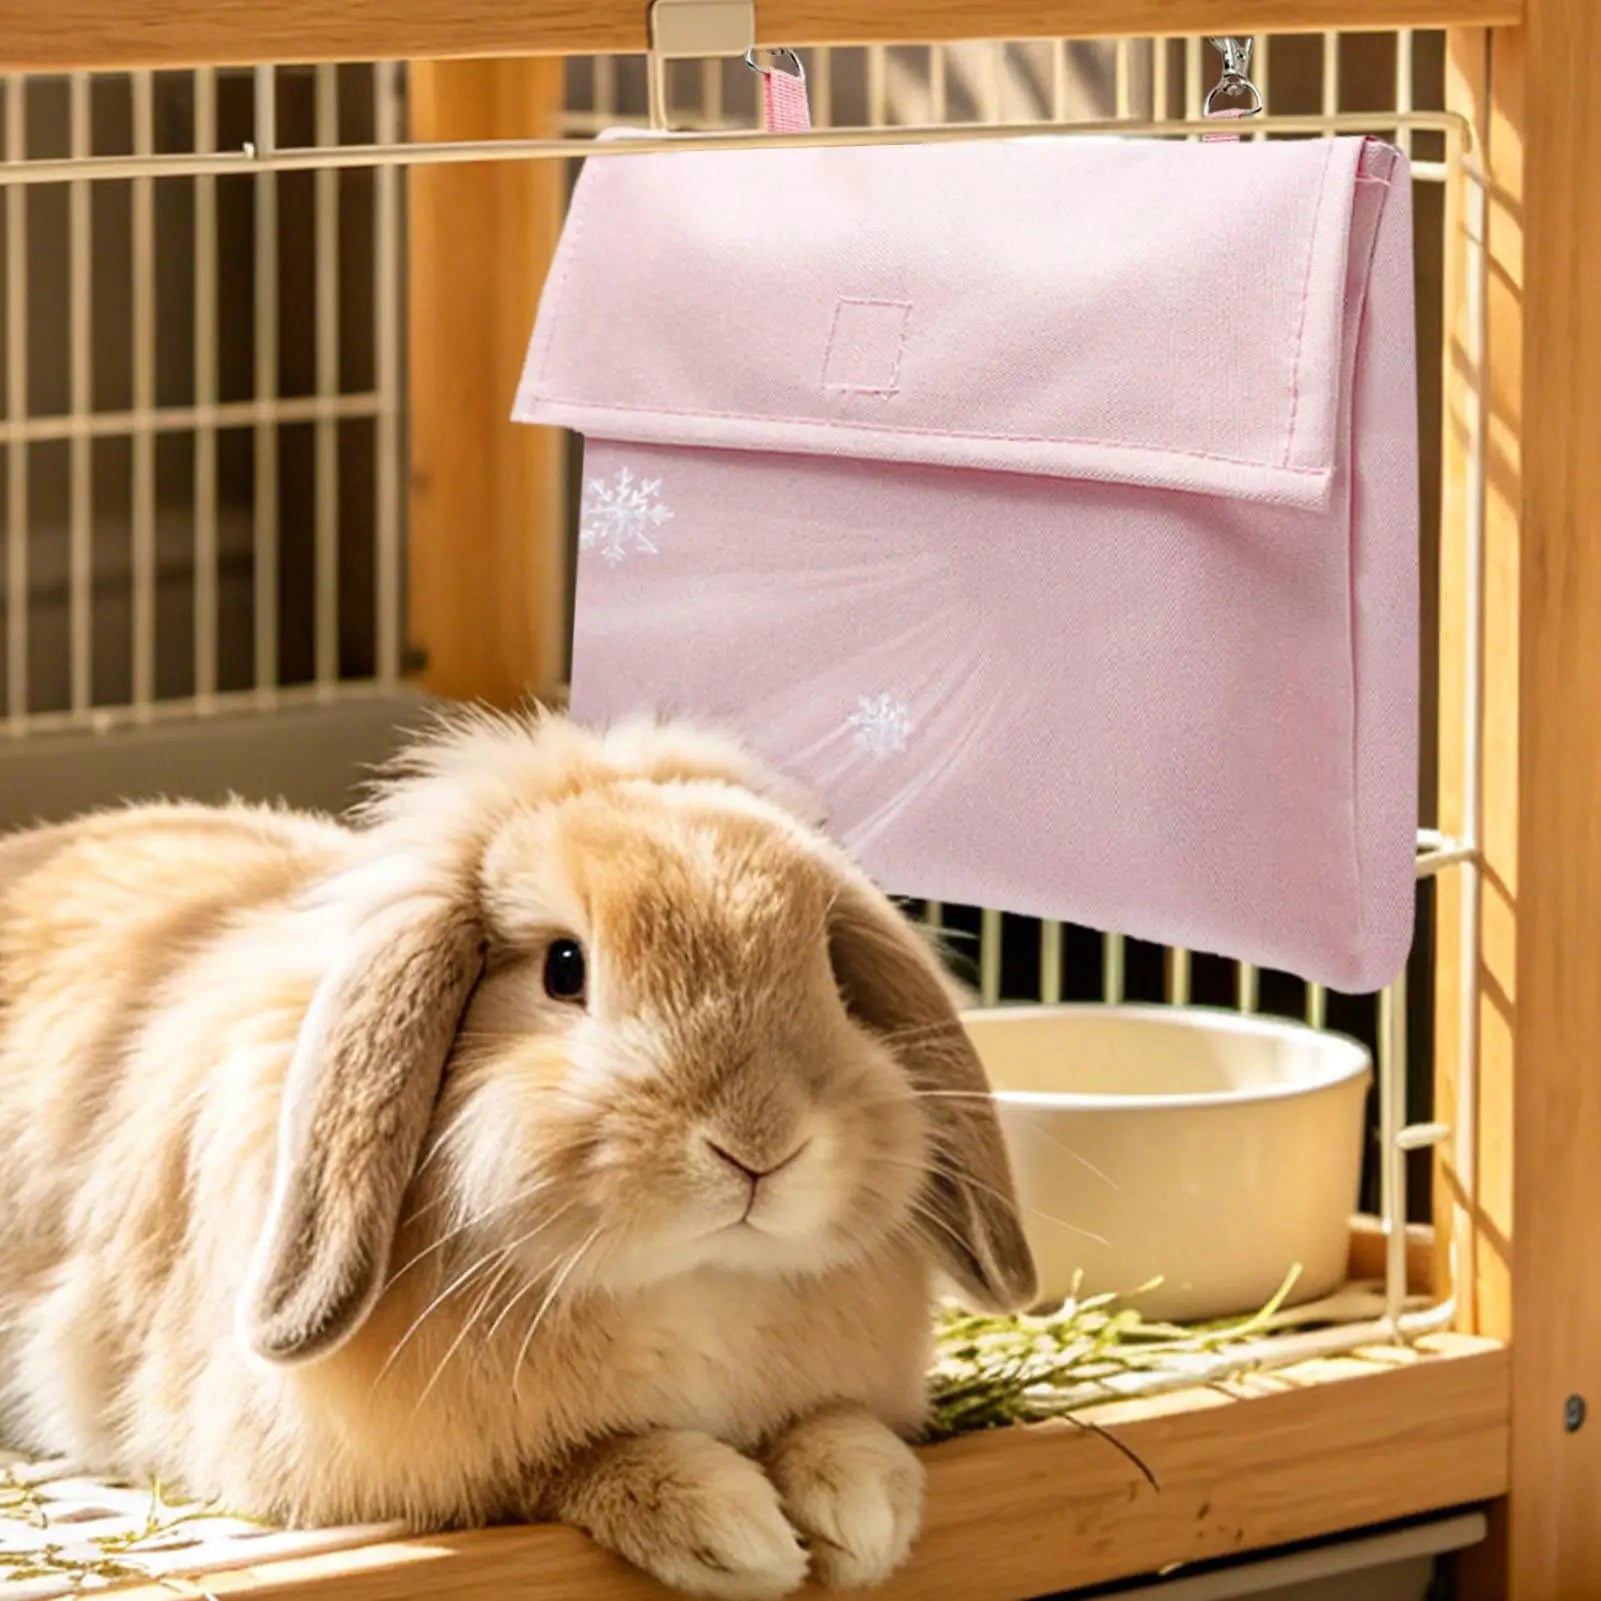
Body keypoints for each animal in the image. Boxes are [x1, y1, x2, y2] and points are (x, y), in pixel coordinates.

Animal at [0, 710, 1036, 1599]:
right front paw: (732, 1527)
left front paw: (865, 1510)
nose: (758, 1143)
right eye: (563, 968)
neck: (695, 1282)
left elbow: (839, 1421)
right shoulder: (427, 1471)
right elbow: (568, 1460)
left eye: (827, 970)